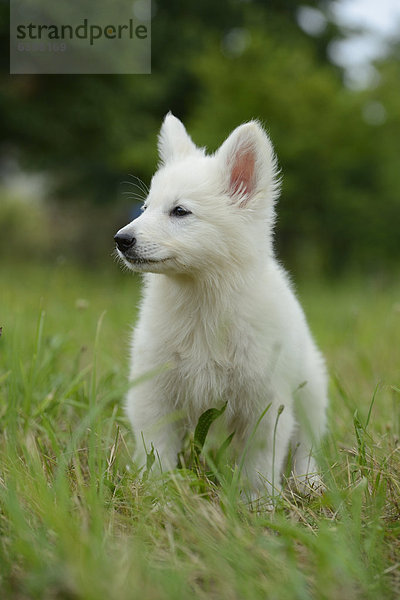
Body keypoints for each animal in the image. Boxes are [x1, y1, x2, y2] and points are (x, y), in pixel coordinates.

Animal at [114, 112, 326, 496]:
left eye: (180, 211)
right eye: (146, 207)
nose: (121, 239)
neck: (202, 302)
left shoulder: (265, 401)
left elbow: (260, 464)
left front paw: (260, 503)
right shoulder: (154, 393)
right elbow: (157, 449)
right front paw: (157, 494)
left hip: (312, 389)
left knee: (307, 445)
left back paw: (309, 483)